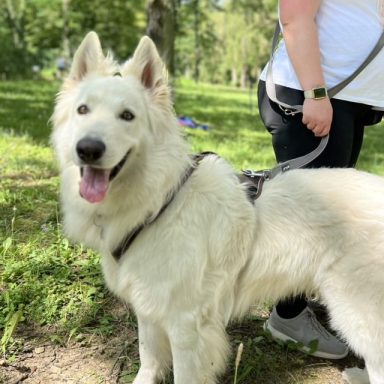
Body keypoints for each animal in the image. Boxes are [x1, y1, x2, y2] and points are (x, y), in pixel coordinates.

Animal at [52, 31, 384, 382]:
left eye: (127, 116)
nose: (88, 149)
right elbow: (149, 358)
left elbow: (183, 372)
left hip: (358, 313)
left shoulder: (185, 323)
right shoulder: (150, 306)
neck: (161, 199)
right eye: (83, 110)